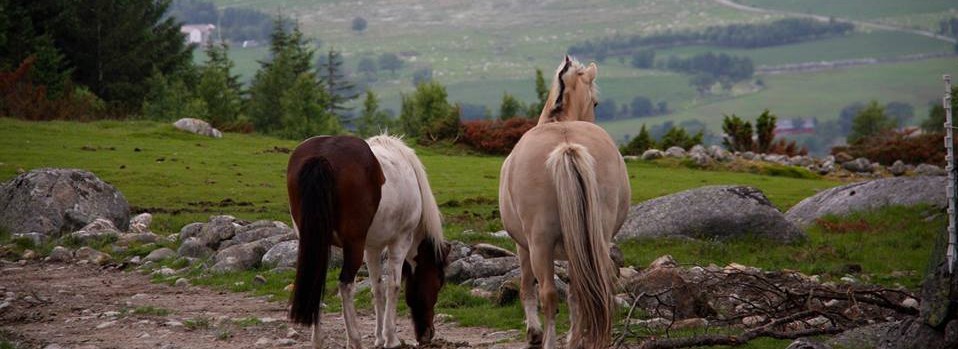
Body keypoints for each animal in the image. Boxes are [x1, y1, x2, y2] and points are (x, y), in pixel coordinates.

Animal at [286, 134, 448, 348]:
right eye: (438, 281)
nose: (428, 334)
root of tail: (321, 156)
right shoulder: (400, 241)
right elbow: (393, 286)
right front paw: (391, 338)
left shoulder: (372, 247)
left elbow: (377, 288)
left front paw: (379, 337)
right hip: (352, 245)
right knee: (346, 286)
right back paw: (355, 340)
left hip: (316, 243)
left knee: (316, 282)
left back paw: (318, 340)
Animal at [498, 57, 632, 348]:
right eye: (596, 103)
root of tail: (566, 146)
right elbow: (573, 294)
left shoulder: (522, 246)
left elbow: (527, 287)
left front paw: (534, 332)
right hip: (596, 238)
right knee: (584, 290)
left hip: (540, 243)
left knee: (548, 293)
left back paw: (550, 340)